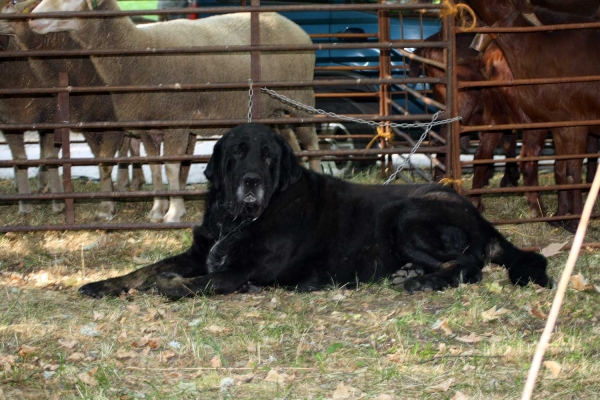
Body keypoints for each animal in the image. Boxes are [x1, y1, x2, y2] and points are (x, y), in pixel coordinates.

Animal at [2, 0, 142, 219]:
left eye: (13, 3)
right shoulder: (12, 121)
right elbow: (21, 160)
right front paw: (25, 204)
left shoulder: (106, 122)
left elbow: (103, 161)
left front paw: (104, 206)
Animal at [29, 0, 318, 222]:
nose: (32, 18)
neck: (136, 51)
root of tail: (297, 28)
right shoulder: (148, 126)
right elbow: (156, 168)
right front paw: (157, 210)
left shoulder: (175, 121)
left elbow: (171, 167)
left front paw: (174, 212)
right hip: (275, 109)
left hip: (299, 98)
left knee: (312, 143)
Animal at [81, 123, 552, 298]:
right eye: (237, 153)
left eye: (269, 157)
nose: (251, 180)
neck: (241, 218)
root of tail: (480, 216)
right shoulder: (201, 252)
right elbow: (146, 269)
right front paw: (104, 284)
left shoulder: (248, 270)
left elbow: (197, 282)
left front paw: (170, 286)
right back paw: (411, 273)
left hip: (408, 216)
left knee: (471, 264)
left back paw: (423, 280)